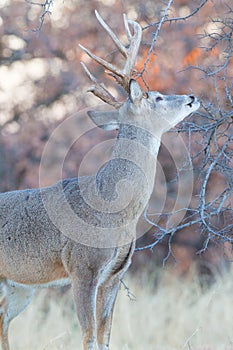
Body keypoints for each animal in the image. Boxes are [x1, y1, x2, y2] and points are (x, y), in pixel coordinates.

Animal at [0, 10, 200, 350]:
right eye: (158, 97)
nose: (192, 96)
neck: (114, 210)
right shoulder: (83, 267)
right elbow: (89, 335)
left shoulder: (115, 274)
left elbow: (105, 336)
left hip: (19, 287)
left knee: (3, 327)